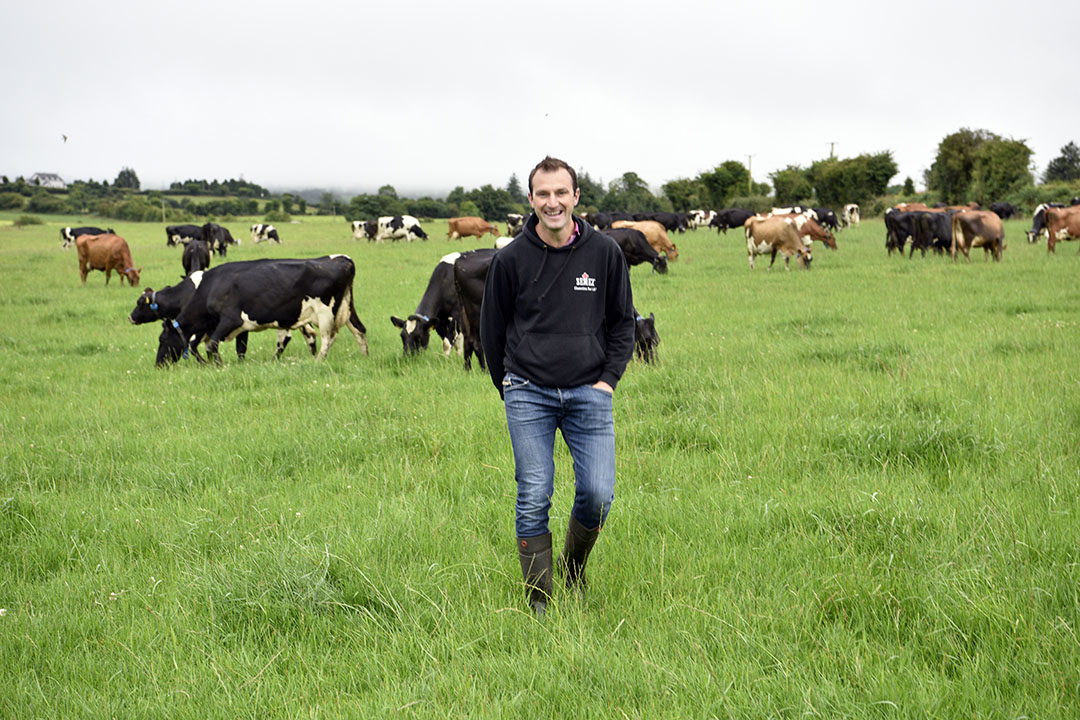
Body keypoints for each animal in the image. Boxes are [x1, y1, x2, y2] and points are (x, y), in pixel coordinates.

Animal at [154, 254, 369, 367]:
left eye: (162, 340)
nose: (158, 365)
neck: (211, 288)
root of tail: (341, 259)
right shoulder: (232, 326)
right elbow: (231, 347)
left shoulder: (231, 320)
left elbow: (211, 344)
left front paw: (218, 365)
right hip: (348, 309)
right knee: (360, 330)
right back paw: (364, 357)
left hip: (326, 313)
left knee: (328, 338)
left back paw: (318, 361)